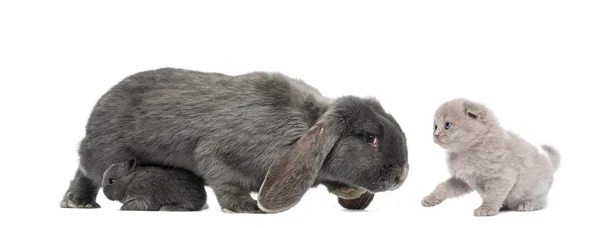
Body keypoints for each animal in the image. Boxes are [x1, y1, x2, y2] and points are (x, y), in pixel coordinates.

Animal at [59, 67, 408, 213]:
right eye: (369, 138)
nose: (402, 176)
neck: (301, 125)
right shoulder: (220, 153)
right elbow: (224, 178)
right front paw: (244, 208)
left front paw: (349, 190)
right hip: (104, 155)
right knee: (84, 170)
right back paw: (77, 202)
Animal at [424, 99, 560, 216]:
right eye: (435, 127)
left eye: (447, 125)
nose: (435, 135)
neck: (467, 150)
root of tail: (549, 165)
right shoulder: (463, 180)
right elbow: (443, 187)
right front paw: (431, 198)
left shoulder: (502, 176)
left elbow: (493, 194)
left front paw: (486, 208)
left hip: (537, 189)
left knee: (541, 201)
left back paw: (528, 203)